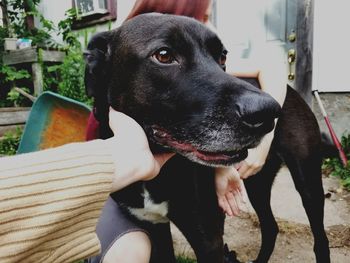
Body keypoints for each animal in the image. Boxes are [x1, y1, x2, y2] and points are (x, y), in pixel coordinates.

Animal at [83, 13, 330, 262]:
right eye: (163, 55)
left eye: (222, 56)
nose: (267, 112)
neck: (155, 176)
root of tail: (292, 91)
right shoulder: (153, 225)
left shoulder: (209, 239)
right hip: (257, 183)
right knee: (271, 227)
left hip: (307, 182)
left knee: (320, 238)